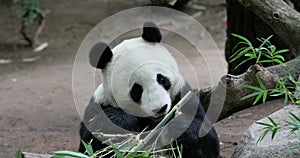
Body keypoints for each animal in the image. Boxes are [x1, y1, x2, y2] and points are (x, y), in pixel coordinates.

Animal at [79, 21, 220, 158]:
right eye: (136, 90)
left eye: (161, 79)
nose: (160, 109)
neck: (153, 122)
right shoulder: (98, 105)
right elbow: (92, 145)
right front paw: (121, 122)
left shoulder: (184, 96)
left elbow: (207, 140)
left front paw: (179, 127)